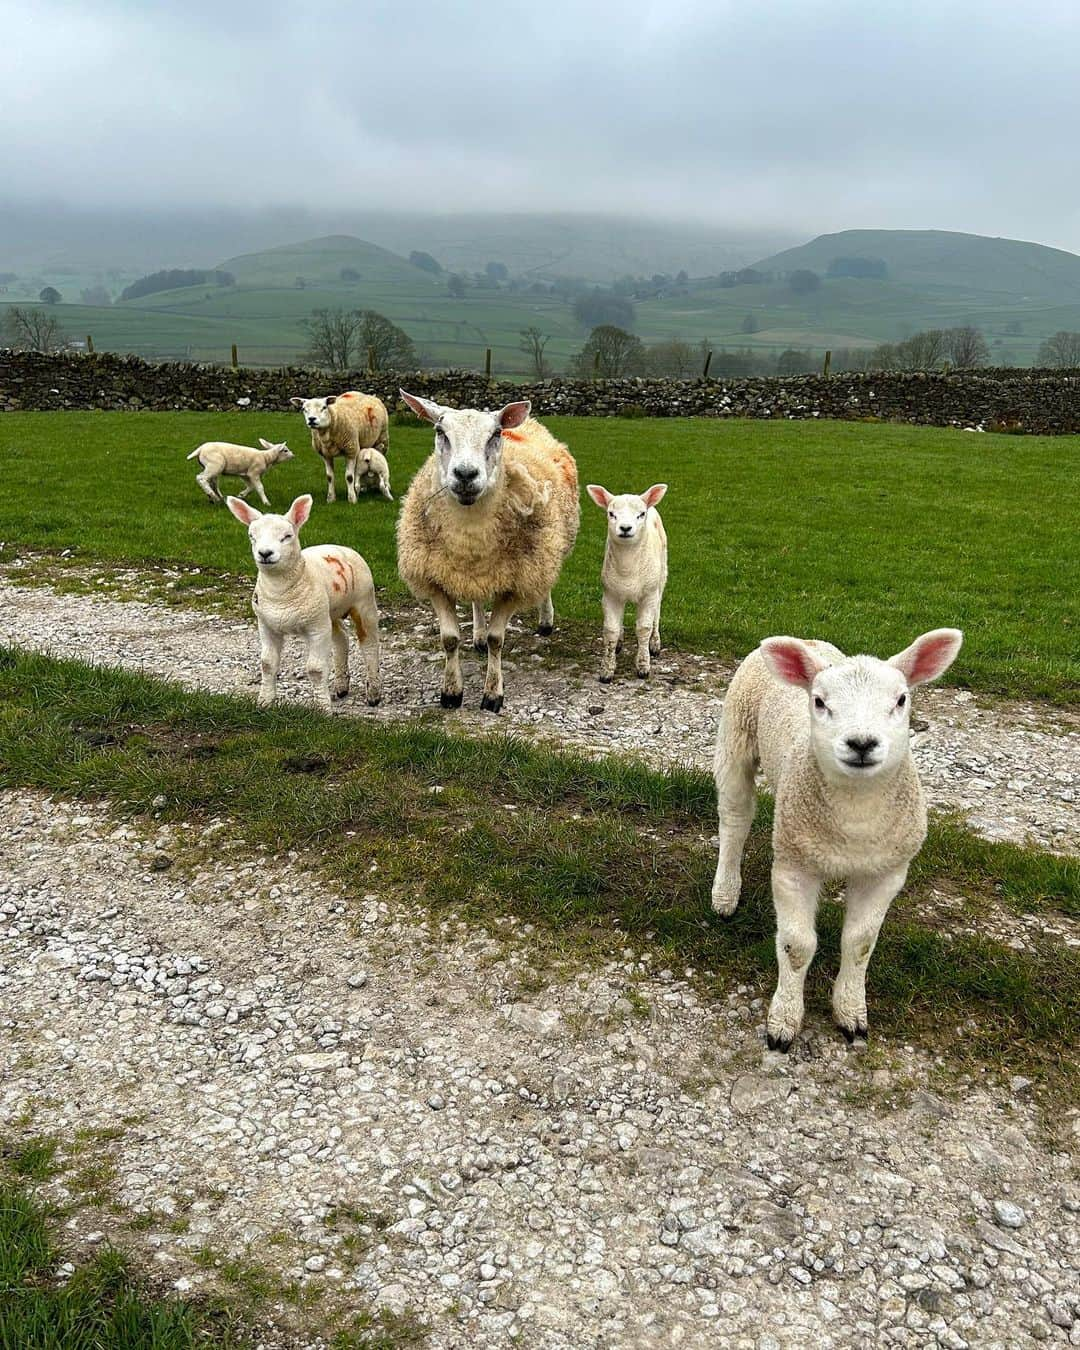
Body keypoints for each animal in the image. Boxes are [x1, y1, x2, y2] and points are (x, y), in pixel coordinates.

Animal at [225, 491, 380, 712]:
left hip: (364, 602)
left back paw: (374, 693)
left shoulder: (316, 628)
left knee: (369, 644)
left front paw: (323, 709)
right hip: (327, 612)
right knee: (341, 638)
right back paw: (341, 686)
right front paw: (265, 702)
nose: (265, 553)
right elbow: (267, 664)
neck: (281, 594)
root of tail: (343, 547)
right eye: (252, 536)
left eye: (287, 536)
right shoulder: (266, 625)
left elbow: (315, 669)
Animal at [396, 388, 583, 712]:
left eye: (495, 434)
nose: (465, 474)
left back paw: (545, 621)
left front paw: (493, 694)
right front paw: (451, 692)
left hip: (546, 551)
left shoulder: (515, 584)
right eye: (440, 432)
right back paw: (478, 635)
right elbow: (449, 639)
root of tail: (529, 423)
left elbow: (498, 640)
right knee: (477, 600)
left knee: (545, 583)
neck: (470, 537)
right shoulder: (435, 580)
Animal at [583, 480, 666, 680]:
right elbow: (610, 631)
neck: (628, 569)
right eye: (611, 514)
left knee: (657, 612)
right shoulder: (610, 595)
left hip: (661, 577)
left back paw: (655, 643)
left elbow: (644, 628)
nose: (625, 528)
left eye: (640, 514)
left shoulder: (648, 594)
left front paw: (643, 666)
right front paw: (607, 670)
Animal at [712, 626, 966, 1047]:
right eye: (819, 701)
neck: (855, 815)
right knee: (735, 817)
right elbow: (797, 947)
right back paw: (725, 893)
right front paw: (784, 1021)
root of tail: (805, 639)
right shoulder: (793, 867)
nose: (861, 743)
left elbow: (860, 944)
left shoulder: (887, 872)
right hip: (736, 736)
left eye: (901, 699)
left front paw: (851, 1012)